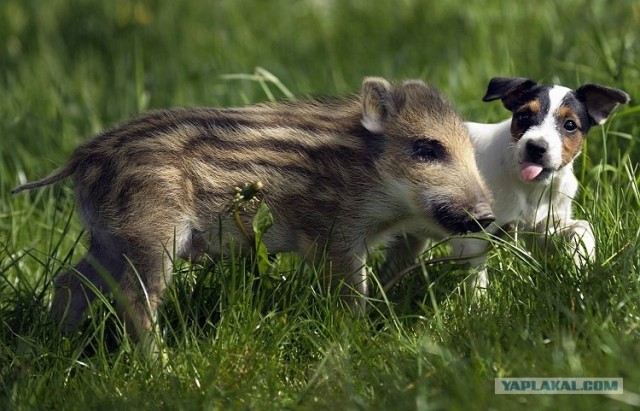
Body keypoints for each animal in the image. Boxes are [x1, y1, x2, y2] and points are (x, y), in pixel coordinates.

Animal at [380, 77, 632, 292]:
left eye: (569, 125)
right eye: (523, 117)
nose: (535, 147)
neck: (529, 189)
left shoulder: (541, 231)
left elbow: (583, 228)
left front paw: (581, 262)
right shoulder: (473, 237)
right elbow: (477, 278)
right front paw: (479, 308)